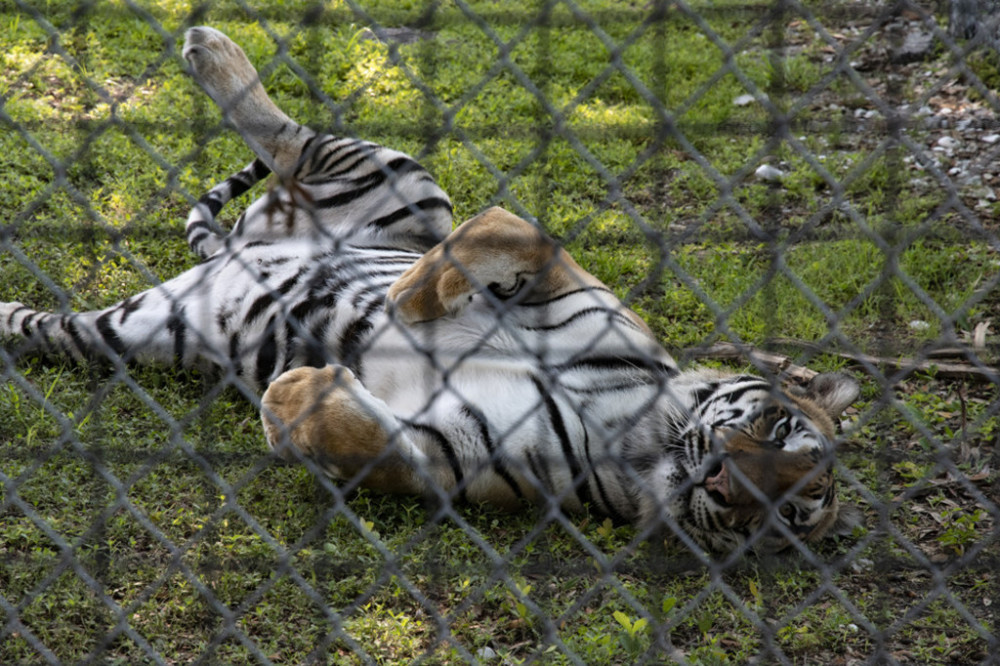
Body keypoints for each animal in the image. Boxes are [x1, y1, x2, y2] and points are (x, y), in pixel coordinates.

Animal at [0, 26, 860, 552]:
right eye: (780, 432)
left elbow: (372, 445)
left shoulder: (455, 455)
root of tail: (237, 248)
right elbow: (507, 237)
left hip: (137, 331)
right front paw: (412, 297)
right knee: (288, 137)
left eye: (782, 516)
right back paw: (210, 47)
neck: (644, 438)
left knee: (43, 326)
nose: (723, 481)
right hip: (402, 179)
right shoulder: (566, 284)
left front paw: (295, 396)